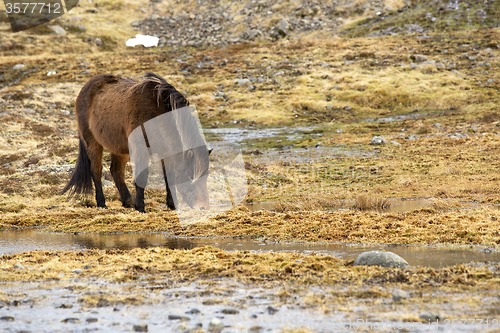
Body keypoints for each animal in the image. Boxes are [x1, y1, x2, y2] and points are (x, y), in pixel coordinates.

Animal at [63, 73, 211, 213]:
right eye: (191, 176)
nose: (203, 207)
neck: (155, 114)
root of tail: (86, 87)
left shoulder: (167, 153)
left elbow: (169, 177)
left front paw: (172, 205)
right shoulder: (141, 150)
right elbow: (142, 177)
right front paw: (140, 207)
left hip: (119, 148)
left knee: (116, 171)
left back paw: (127, 201)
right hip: (93, 143)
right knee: (96, 170)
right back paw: (102, 203)